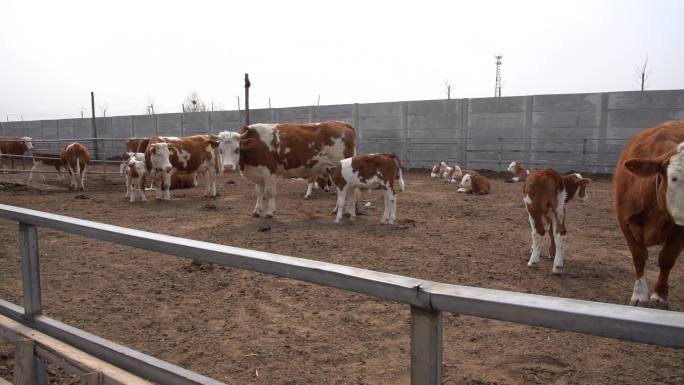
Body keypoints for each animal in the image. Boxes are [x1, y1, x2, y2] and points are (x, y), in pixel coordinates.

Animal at [218, 121, 358, 216]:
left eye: (237, 149)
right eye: (220, 150)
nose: (228, 167)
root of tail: (342, 124)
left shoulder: (270, 172)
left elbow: (269, 192)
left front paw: (270, 212)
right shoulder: (258, 173)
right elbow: (259, 192)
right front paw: (257, 210)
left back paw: (349, 211)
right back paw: (342, 210)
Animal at [616, 118, 684, 308]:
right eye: (674, 178)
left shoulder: (680, 228)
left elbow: (666, 259)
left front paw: (659, 296)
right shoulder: (624, 221)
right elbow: (638, 256)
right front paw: (639, 295)